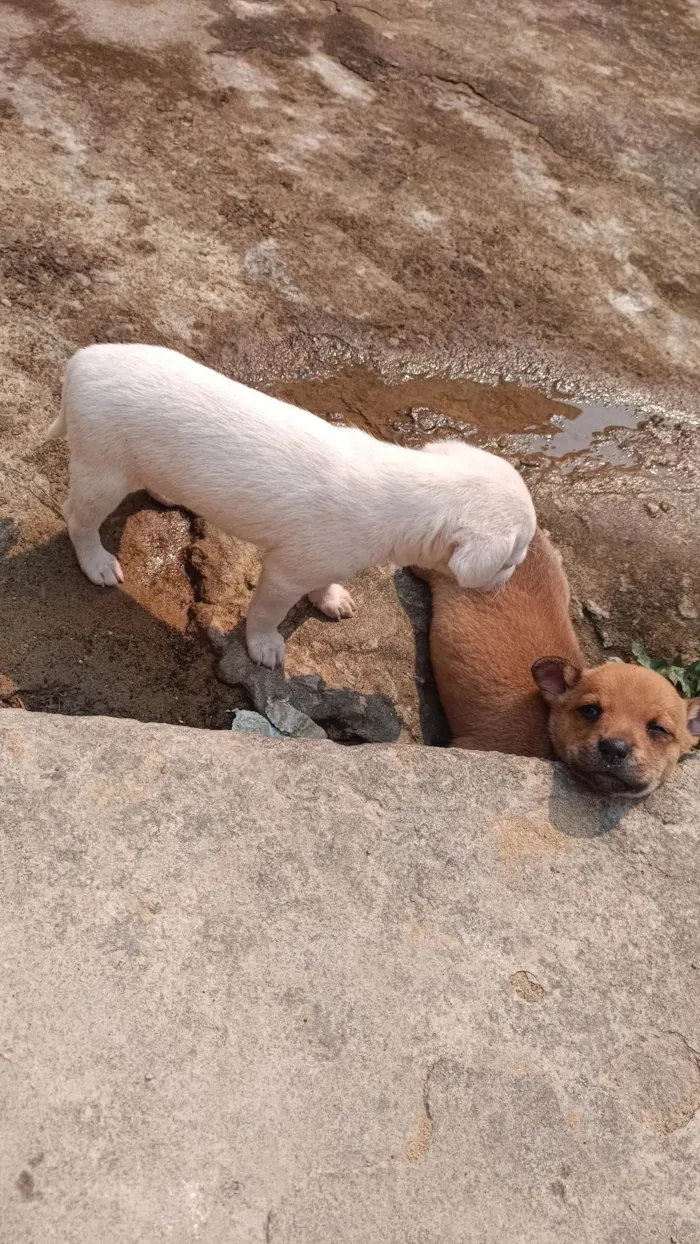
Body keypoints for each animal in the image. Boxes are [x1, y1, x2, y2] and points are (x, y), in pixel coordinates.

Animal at [47, 345, 537, 666]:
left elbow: (323, 584)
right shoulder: (287, 569)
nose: (507, 584)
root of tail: (79, 362)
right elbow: (270, 611)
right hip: (103, 468)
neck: (409, 491)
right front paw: (265, 647)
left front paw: (332, 599)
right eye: (513, 560)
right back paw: (98, 563)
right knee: (78, 517)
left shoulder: (324, 558)